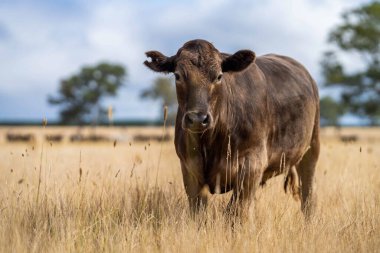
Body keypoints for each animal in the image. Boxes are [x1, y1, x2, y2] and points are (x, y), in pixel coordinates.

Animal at [144, 39, 320, 219]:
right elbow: (199, 212)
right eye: (178, 75)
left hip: (311, 149)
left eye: (219, 76)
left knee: (308, 196)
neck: (211, 142)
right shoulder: (189, 169)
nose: (198, 119)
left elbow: (235, 212)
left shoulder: (252, 164)